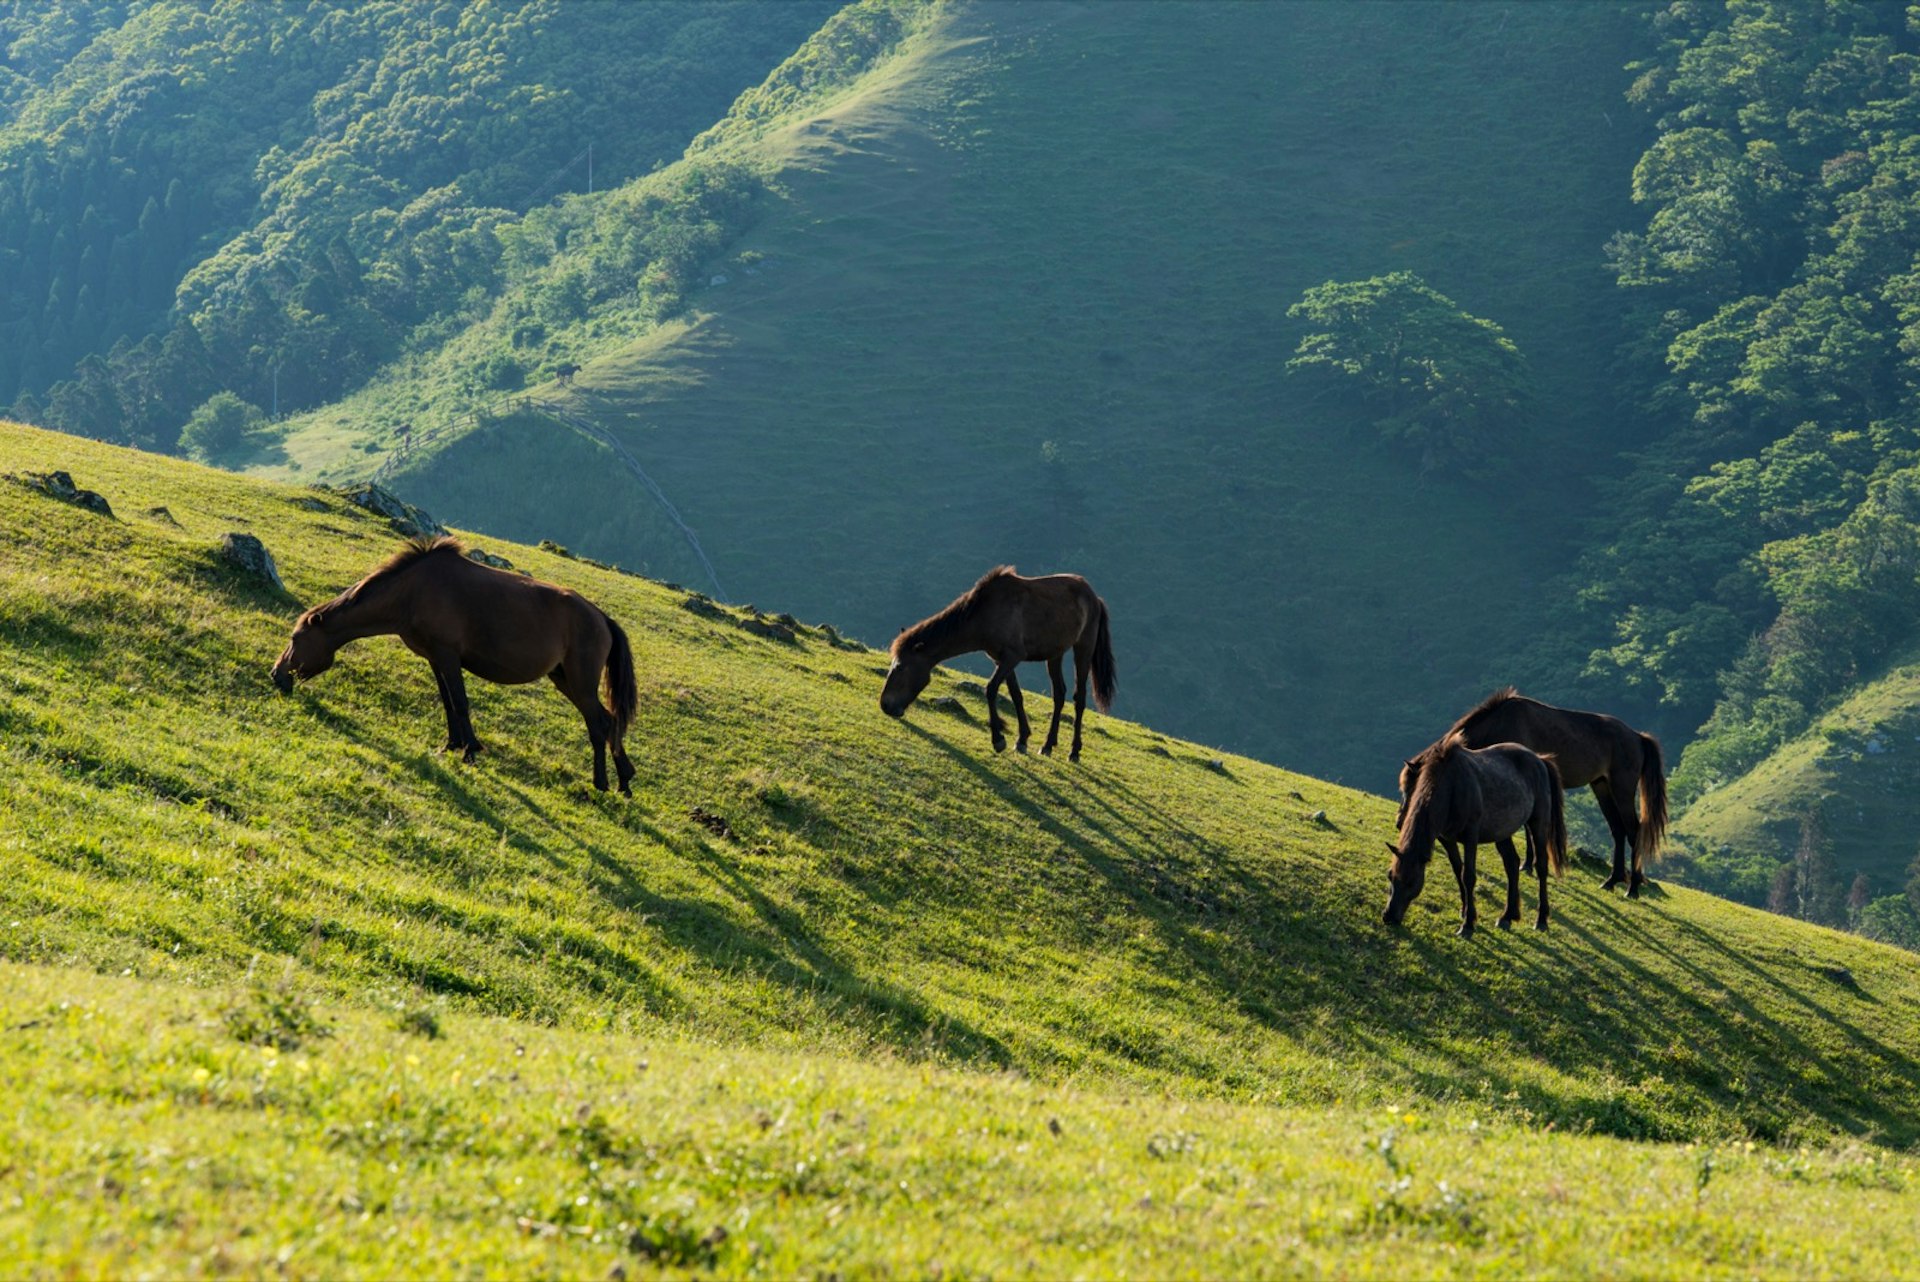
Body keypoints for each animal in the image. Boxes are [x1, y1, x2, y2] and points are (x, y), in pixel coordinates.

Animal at [268, 533, 637, 790]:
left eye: (295, 639)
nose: (276, 675)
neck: (412, 592)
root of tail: (602, 618)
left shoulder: (448, 654)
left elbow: (460, 702)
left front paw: (470, 751)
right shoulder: (435, 657)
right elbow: (447, 703)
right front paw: (450, 744)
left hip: (580, 681)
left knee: (598, 724)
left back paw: (602, 783)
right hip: (564, 679)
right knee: (608, 720)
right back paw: (624, 780)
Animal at [879, 564, 1121, 759]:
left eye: (900, 667)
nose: (885, 705)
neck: (985, 612)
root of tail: (1095, 598)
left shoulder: (1012, 657)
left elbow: (991, 689)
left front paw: (998, 739)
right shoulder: (1001, 660)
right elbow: (1016, 695)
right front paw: (1022, 739)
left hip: (1083, 648)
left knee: (1079, 699)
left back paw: (1074, 751)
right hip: (1055, 653)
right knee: (1059, 695)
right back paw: (1048, 745)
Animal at [1390, 736, 1566, 936]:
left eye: (1411, 882)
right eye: (1390, 877)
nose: (1389, 917)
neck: (1451, 787)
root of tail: (1540, 760)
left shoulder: (1470, 837)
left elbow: (1468, 875)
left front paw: (1468, 924)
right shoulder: (1447, 838)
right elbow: (1458, 869)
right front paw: (1465, 909)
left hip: (1538, 824)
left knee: (1541, 866)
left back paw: (1541, 919)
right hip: (1503, 832)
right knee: (1512, 864)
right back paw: (1507, 916)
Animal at [1397, 690, 1666, 902]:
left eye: (1413, 788)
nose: (1400, 823)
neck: (1503, 721)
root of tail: (1637, 737)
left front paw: (1528, 864)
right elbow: (1526, 829)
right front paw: (1528, 864)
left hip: (1622, 789)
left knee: (1633, 831)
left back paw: (1632, 887)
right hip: (1601, 786)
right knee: (1617, 830)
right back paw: (1612, 880)